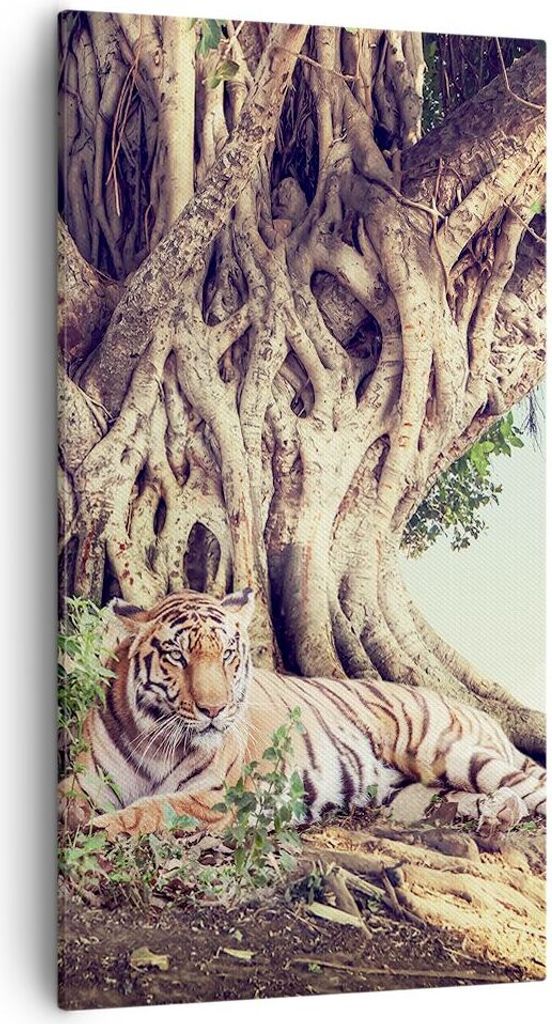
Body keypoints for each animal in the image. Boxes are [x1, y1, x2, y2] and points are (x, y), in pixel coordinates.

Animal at [60, 587, 546, 840]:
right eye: (177, 656)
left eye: (228, 654)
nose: (214, 709)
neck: (155, 740)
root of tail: (484, 712)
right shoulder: (85, 780)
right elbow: (69, 801)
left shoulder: (215, 796)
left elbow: (148, 811)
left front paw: (100, 829)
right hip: (413, 796)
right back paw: (490, 815)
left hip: (447, 751)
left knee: (531, 789)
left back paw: (500, 811)